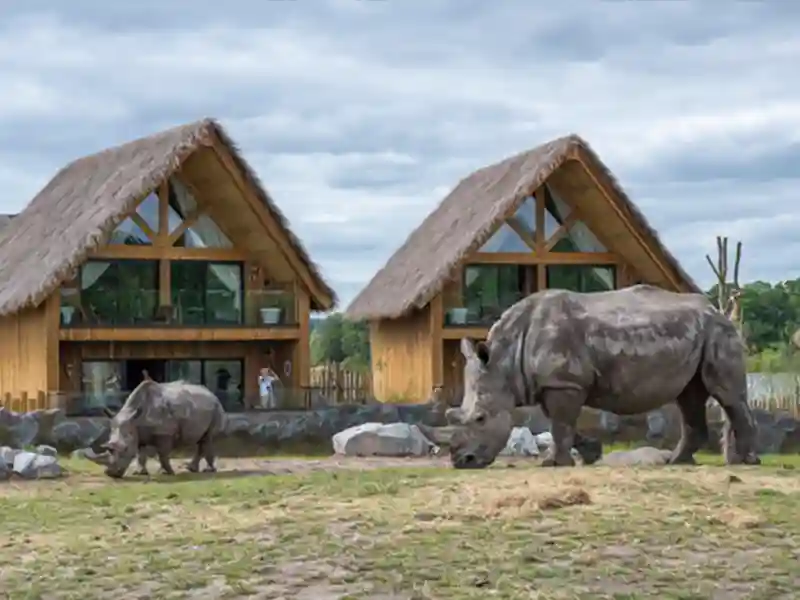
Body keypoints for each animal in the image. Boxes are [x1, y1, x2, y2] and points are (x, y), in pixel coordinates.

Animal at [94, 379, 226, 479]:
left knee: (208, 437)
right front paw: (140, 473)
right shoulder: (138, 432)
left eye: (125, 449)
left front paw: (169, 472)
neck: (134, 418)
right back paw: (192, 469)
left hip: (216, 408)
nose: (111, 474)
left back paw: (207, 470)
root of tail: (211, 393)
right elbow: (140, 454)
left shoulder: (165, 432)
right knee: (202, 438)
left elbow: (162, 454)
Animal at [447, 284, 761, 469]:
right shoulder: (555, 383)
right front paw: (590, 454)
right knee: (690, 397)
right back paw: (677, 462)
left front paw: (554, 464)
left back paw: (746, 462)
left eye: (480, 418)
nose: (463, 461)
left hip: (719, 333)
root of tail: (718, 311)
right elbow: (561, 423)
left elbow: (560, 424)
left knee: (726, 396)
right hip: (699, 336)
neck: (505, 361)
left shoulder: (564, 382)